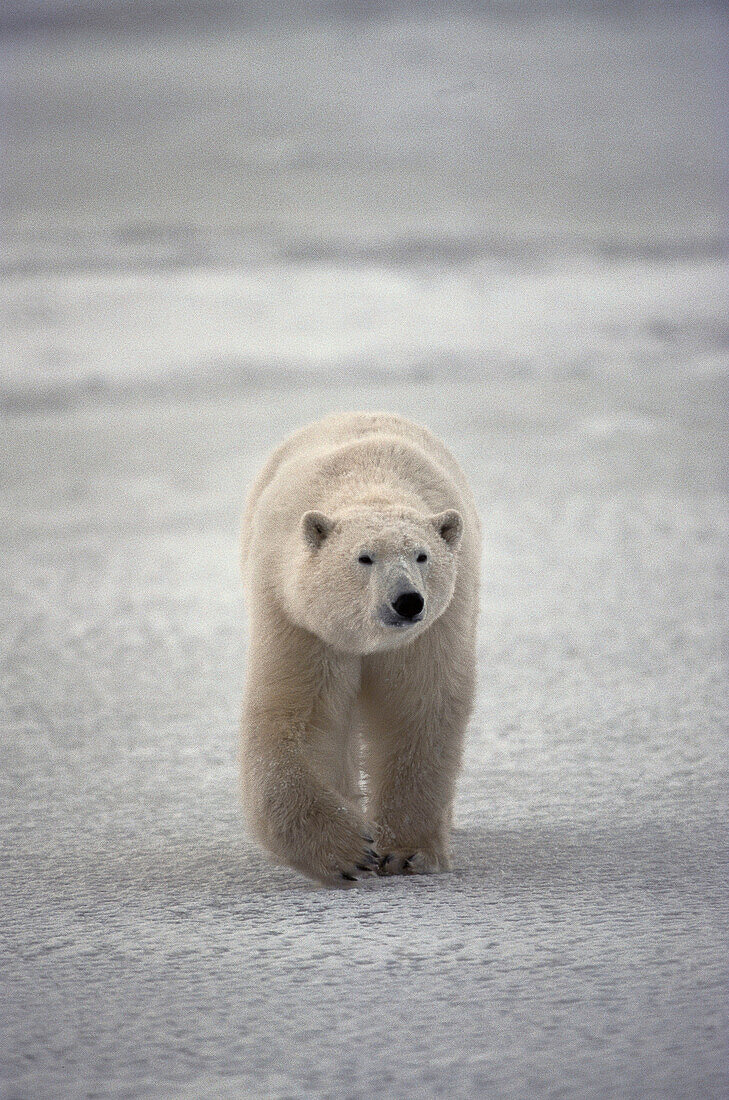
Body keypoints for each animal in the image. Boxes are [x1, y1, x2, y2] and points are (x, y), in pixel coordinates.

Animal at [238, 413, 479, 884]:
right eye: (364, 558)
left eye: (422, 556)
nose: (407, 601)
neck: (371, 485)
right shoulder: (300, 619)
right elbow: (298, 715)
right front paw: (347, 850)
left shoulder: (433, 630)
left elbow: (417, 710)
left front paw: (407, 852)